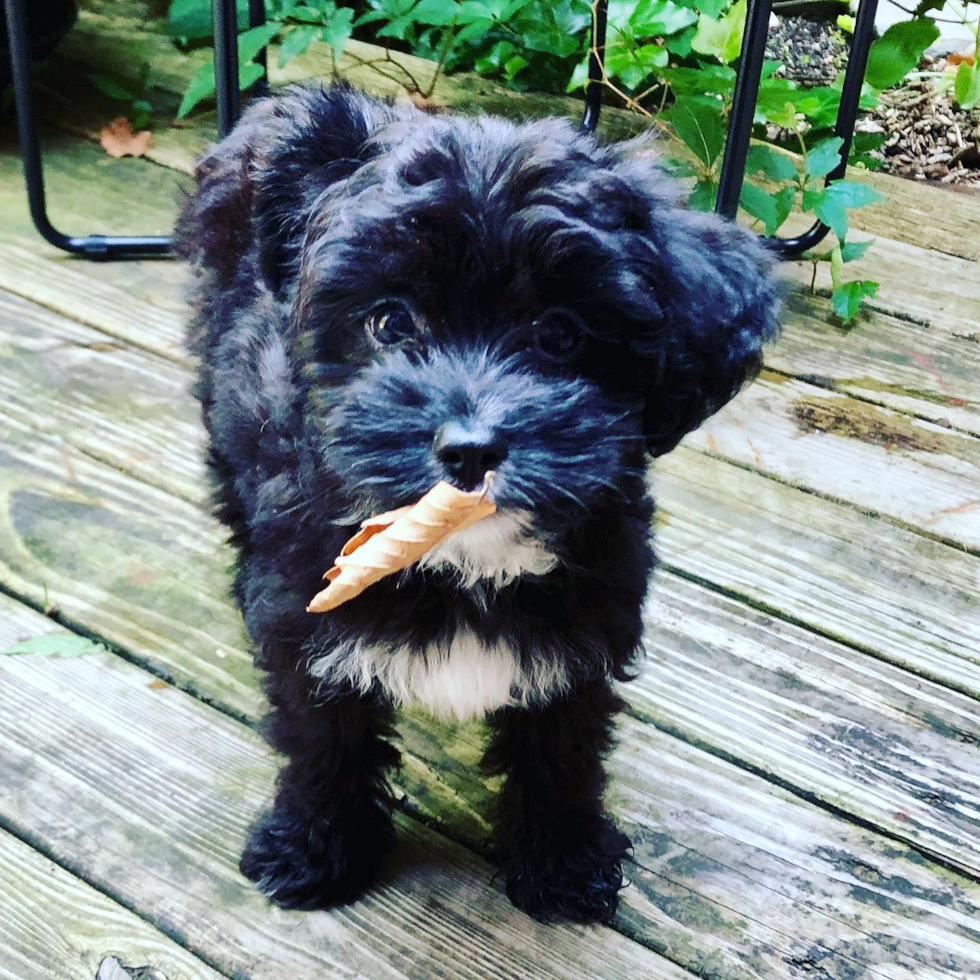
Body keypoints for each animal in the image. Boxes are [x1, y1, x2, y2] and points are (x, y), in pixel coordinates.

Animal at [174, 80, 772, 924]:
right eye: (390, 320)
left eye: (561, 334)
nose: (469, 449)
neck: (460, 558)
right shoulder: (307, 618)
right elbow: (323, 739)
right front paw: (314, 850)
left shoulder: (586, 632)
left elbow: (562, 749)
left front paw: (561, 861)